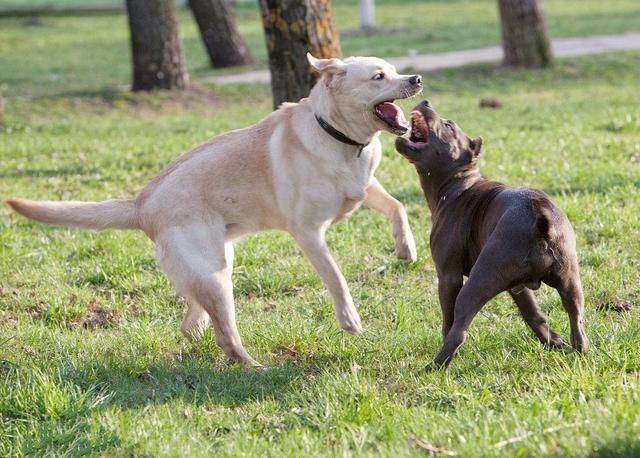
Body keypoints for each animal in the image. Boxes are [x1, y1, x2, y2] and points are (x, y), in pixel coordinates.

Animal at [8, 52, 424, 364]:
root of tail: (141, 204)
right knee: (227, 336)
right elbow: (336, 277)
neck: (337, 136)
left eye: (394, 70)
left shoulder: (365, 185)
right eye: (378, 76)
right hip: (216, 277)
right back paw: (255, 367)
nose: (417, 78)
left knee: (192, 319)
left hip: (215, 267)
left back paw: (199, 335)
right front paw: (349, 319)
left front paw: (406, 247)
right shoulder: (307, 232)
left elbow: (397, 206)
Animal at [398, 99, 588, 368]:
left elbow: (448, 320)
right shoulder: (518, 287)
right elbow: (534, 314)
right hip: (570, 280)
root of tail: (539, 214)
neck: (457, 185)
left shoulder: (448, 277)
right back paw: (577, 349)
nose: (426, 101)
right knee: (576, 318)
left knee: (458, 330)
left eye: (448, 125)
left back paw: (435, 366)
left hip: (475, 285)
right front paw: (553, 342)